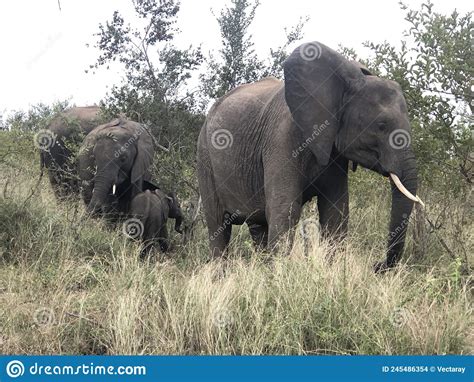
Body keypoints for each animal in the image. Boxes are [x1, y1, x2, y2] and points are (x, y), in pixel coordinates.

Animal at [196, 41, 422, 272]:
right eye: (381, 125)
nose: (377, 265)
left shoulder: (334, 153)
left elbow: (335, 211)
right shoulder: (282, 138)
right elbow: (285, 210)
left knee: (257, 225)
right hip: (204, 156)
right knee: (217, 225)